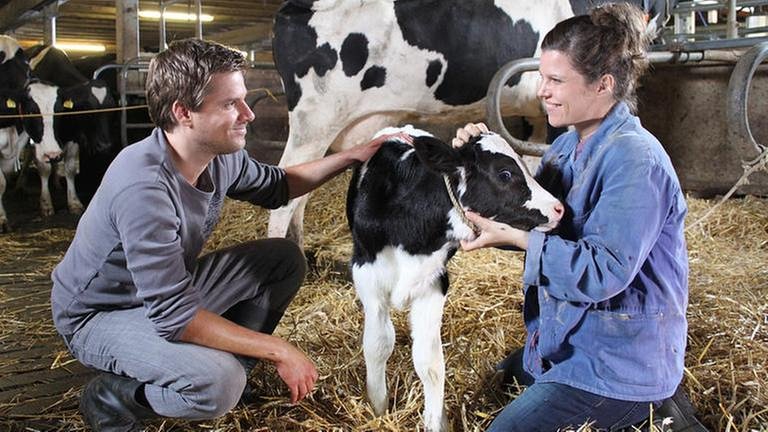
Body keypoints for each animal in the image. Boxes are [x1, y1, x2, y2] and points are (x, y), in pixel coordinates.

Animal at [268, 0, 668, 245]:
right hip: (314, 121)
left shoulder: (535, 113)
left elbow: (534, 161)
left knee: (300, 194)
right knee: (286, 194)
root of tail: (296, 8)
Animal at [348, 124, 564, 428]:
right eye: (505, 173)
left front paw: (436, 422)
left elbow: (430, 363)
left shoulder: (434, 282)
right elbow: (377, 345)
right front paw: (379, 410)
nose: (559, 208)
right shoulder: (367, 278)